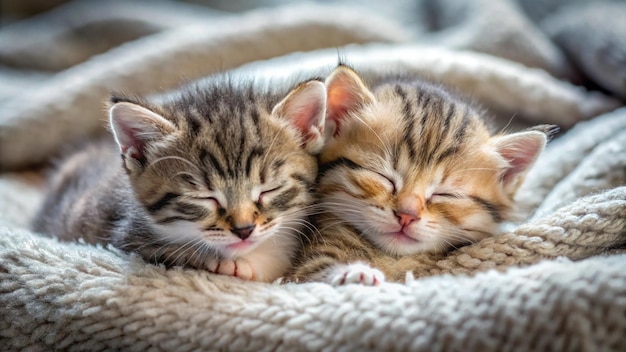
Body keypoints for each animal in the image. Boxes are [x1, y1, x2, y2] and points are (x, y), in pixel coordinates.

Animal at [286, 65, 552, 286]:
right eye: (384, 177)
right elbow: (314, 270)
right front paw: (355, 273)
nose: (407, 216)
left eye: (445, 194)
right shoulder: (308, 264)